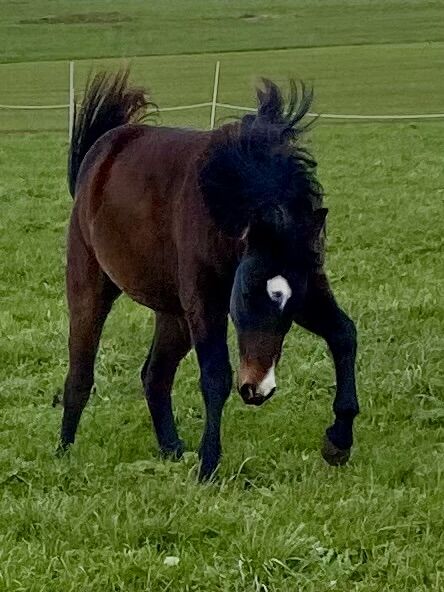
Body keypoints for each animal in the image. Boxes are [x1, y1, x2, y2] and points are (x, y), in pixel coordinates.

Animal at [59, 70, 360, 480]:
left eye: (288, 301)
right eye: (247, 294)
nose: (257, 389)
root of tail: (102, 148)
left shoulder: (308, 289)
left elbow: (344, 334)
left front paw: (338, 442)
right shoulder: (205, 303)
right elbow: (216, 376)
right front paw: (208, 466)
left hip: (173, 314)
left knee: (155, 375)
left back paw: (171, 448)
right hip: (90, 285)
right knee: (81, 373)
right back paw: (63, 453)